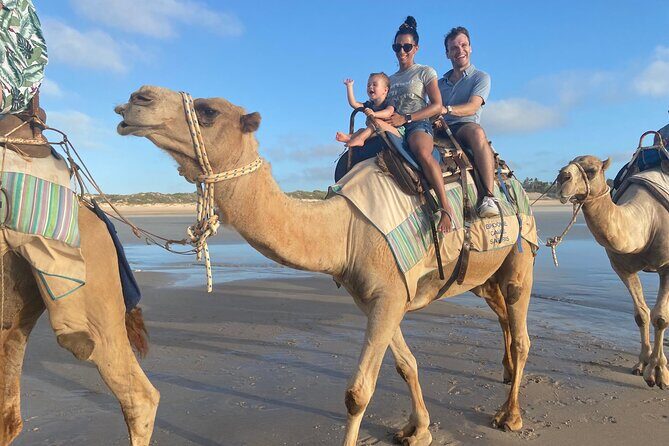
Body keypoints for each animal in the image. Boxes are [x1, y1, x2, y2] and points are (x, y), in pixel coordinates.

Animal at [115, 85, 536, 446]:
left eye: (207, 111)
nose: (137, 98)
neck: (345, 230)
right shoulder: (380, 297)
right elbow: (406, 365)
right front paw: (418, 431)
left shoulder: (388, 296)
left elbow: (357, 393)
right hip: (483, 274)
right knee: (501, 314)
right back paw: (504, 374)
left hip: (520, 254)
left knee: (521, 333)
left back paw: (510, 415)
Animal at [557, 155, 669, 389]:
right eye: (565, 165)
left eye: (591, 170)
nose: (562, 177)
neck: (649, 220)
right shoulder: (622, 267)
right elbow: (642, 314)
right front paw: (642, 364)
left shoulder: (667, 266)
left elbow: (661, 318)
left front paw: (658, 374)